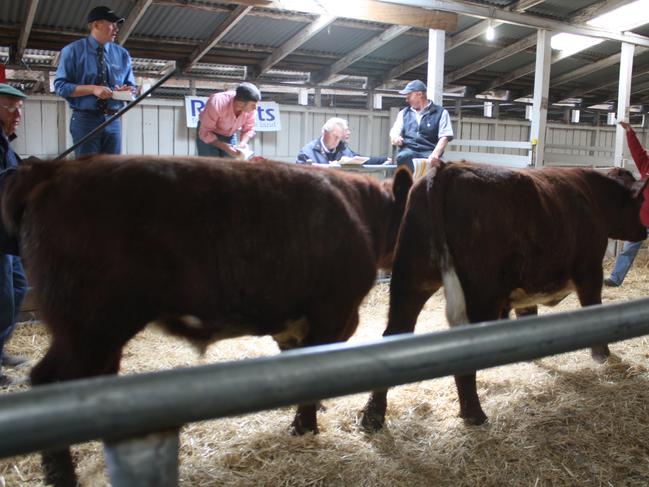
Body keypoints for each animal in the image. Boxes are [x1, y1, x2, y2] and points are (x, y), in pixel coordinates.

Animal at [1, 156, 410, 487]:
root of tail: (53, 169)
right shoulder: (332, 313)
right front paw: (305, 427)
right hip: (88, 328)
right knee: (49, 381)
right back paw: (61, 476)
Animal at [362, 162, 644, 432]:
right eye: (640, 201)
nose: (644, 231)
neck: (592, 193)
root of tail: (447, 169)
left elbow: (527, 315)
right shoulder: (590, 269)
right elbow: (593, 307)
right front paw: (602, 356)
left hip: (409, 281)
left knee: (394, 334)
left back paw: (372, 416)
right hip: (479, 292)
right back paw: (474, 415)